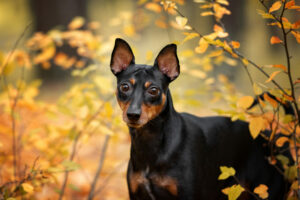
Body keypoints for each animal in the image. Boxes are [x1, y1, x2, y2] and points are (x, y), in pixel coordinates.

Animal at [109, 38, 288, 199]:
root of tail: (273, 136)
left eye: (153, 90)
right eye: (124, 87)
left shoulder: (187, 195)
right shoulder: (136, 194)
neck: (150, 142)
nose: (133, 114)